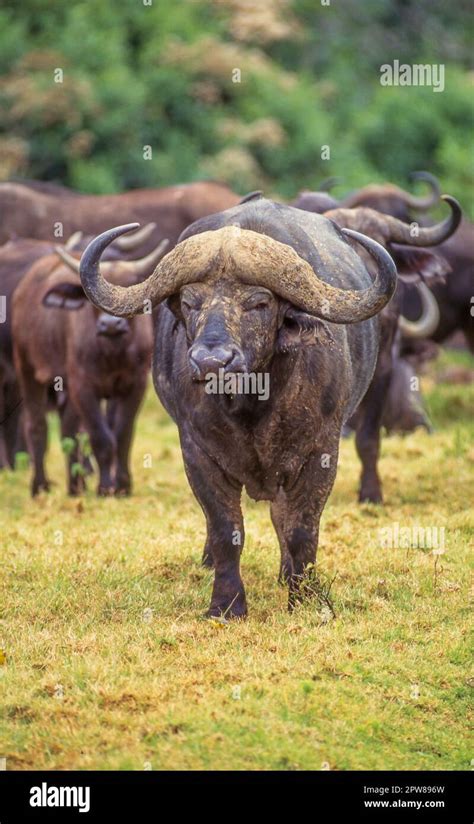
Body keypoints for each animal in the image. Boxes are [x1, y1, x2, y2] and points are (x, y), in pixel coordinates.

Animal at [11, 238, 168, 496]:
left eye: (129, 285)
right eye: (92, 296)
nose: (111, 324)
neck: (112, 353)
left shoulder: (135, 384)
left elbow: (122, 434)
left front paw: (122, 485)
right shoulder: (82, 386)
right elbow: (100, 437)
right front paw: (105, 487)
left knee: (68, 429)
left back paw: (76, 486)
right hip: (27, 368)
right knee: (36, 426)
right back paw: (40, 486)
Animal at [78, 196, 400, 616]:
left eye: (259, 303)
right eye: (189, 302)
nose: (211, 361)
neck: (252, 405)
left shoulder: (321, 450)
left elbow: (300, 528)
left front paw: (305, 598)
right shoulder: (197, 452)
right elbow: (224, 528)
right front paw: (226, 605)